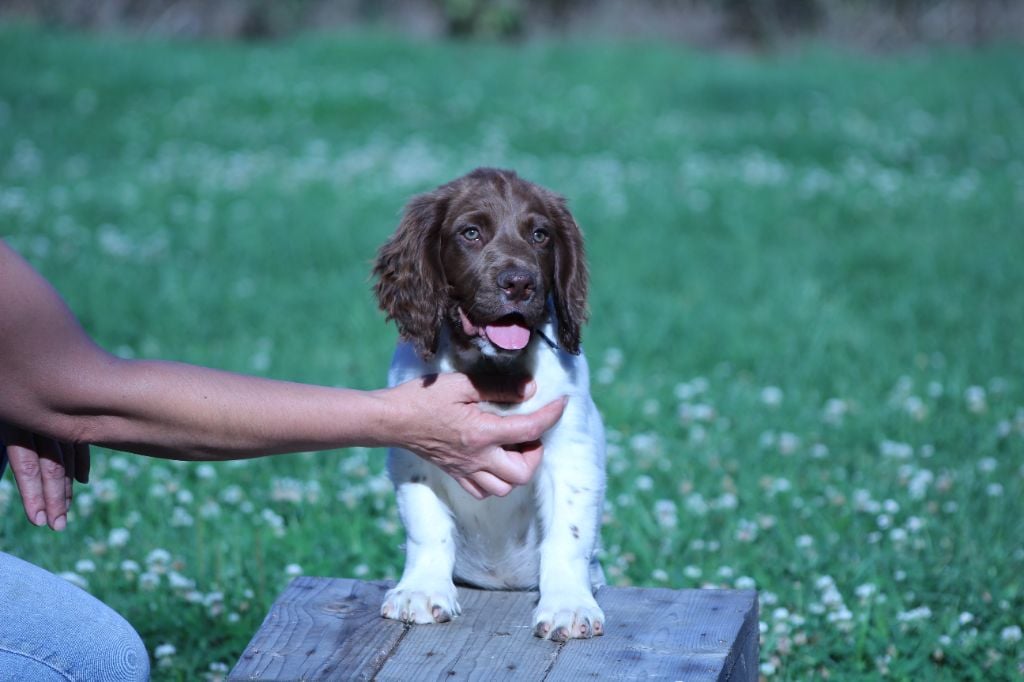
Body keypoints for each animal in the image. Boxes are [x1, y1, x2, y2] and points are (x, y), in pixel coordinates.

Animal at [372, 166, 602, 638]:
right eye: (471, 233)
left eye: (540, 234)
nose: (519, 283)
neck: (493, 372)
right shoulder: (415, 450)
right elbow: (428, 527)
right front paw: (420, 590)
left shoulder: (571, 450)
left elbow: (567, 535)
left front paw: (569, 604)